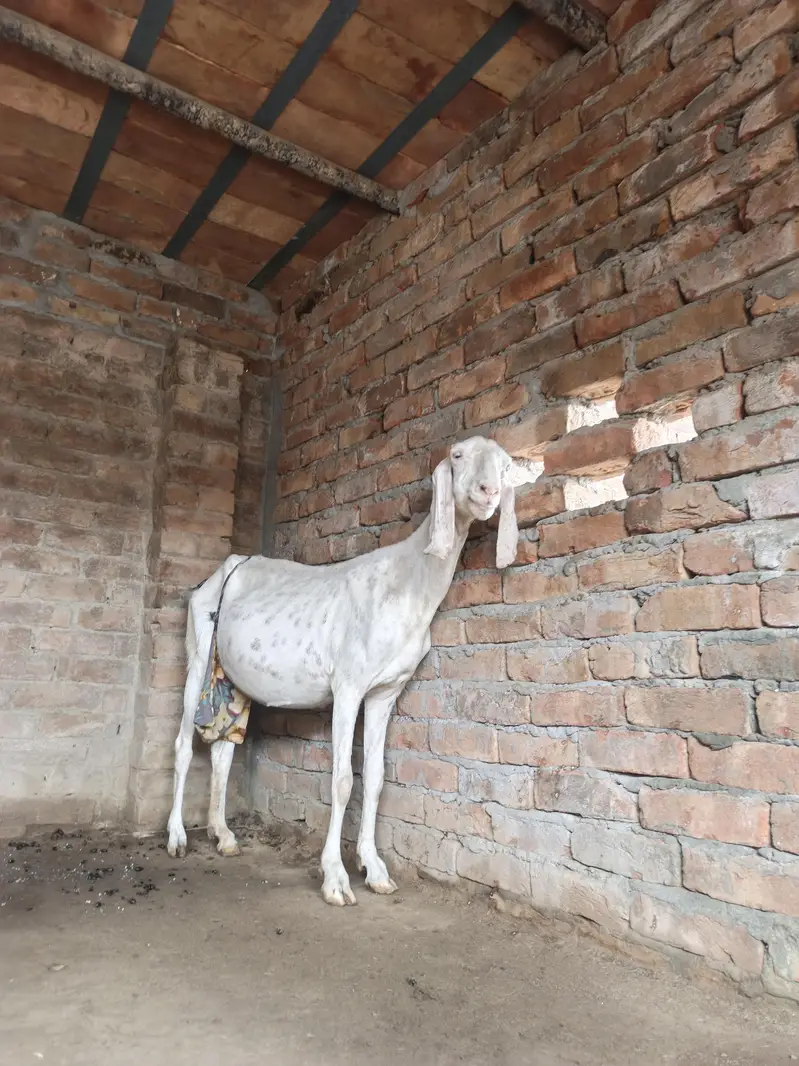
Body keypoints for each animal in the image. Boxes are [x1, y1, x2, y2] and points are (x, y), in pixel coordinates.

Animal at [166, 435, 540, 906]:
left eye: (506, 465)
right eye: (457, 455)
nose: (488, 491)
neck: (409, 581)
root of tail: (226, 567)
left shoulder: (385, 691)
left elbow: (376, 779)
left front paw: (375, 869)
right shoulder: (347, 686)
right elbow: (343, 780)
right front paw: (336, 879)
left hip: (231, 677)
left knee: (223, 749)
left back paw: (224, 835)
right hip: (198, 651)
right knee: (183, 744)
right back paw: (176, 837)